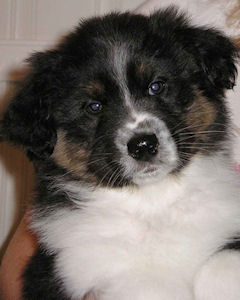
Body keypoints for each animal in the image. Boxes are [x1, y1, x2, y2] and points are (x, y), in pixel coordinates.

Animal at [1, 6, 240, 300]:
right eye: (94, 106)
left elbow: (221, 266)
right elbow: (150, 287)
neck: (152, 202)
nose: (143, 145)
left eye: (156, 86)